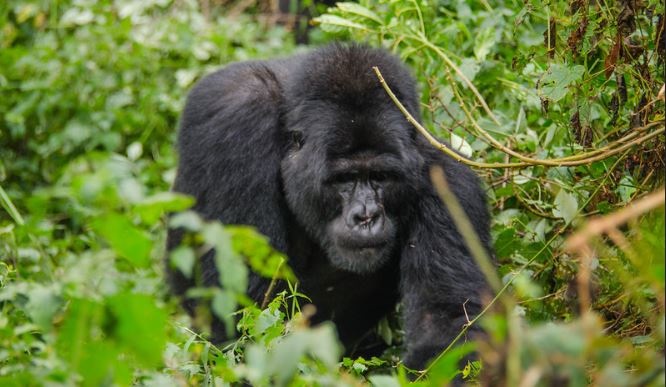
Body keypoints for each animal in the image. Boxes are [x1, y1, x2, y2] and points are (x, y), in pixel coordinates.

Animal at [165, 43, 488, 372]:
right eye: (344, 179)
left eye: (381, 177)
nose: (366, 216)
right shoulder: (235, 123)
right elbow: (248, 317)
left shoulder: (447, 179)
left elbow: (447, 323)